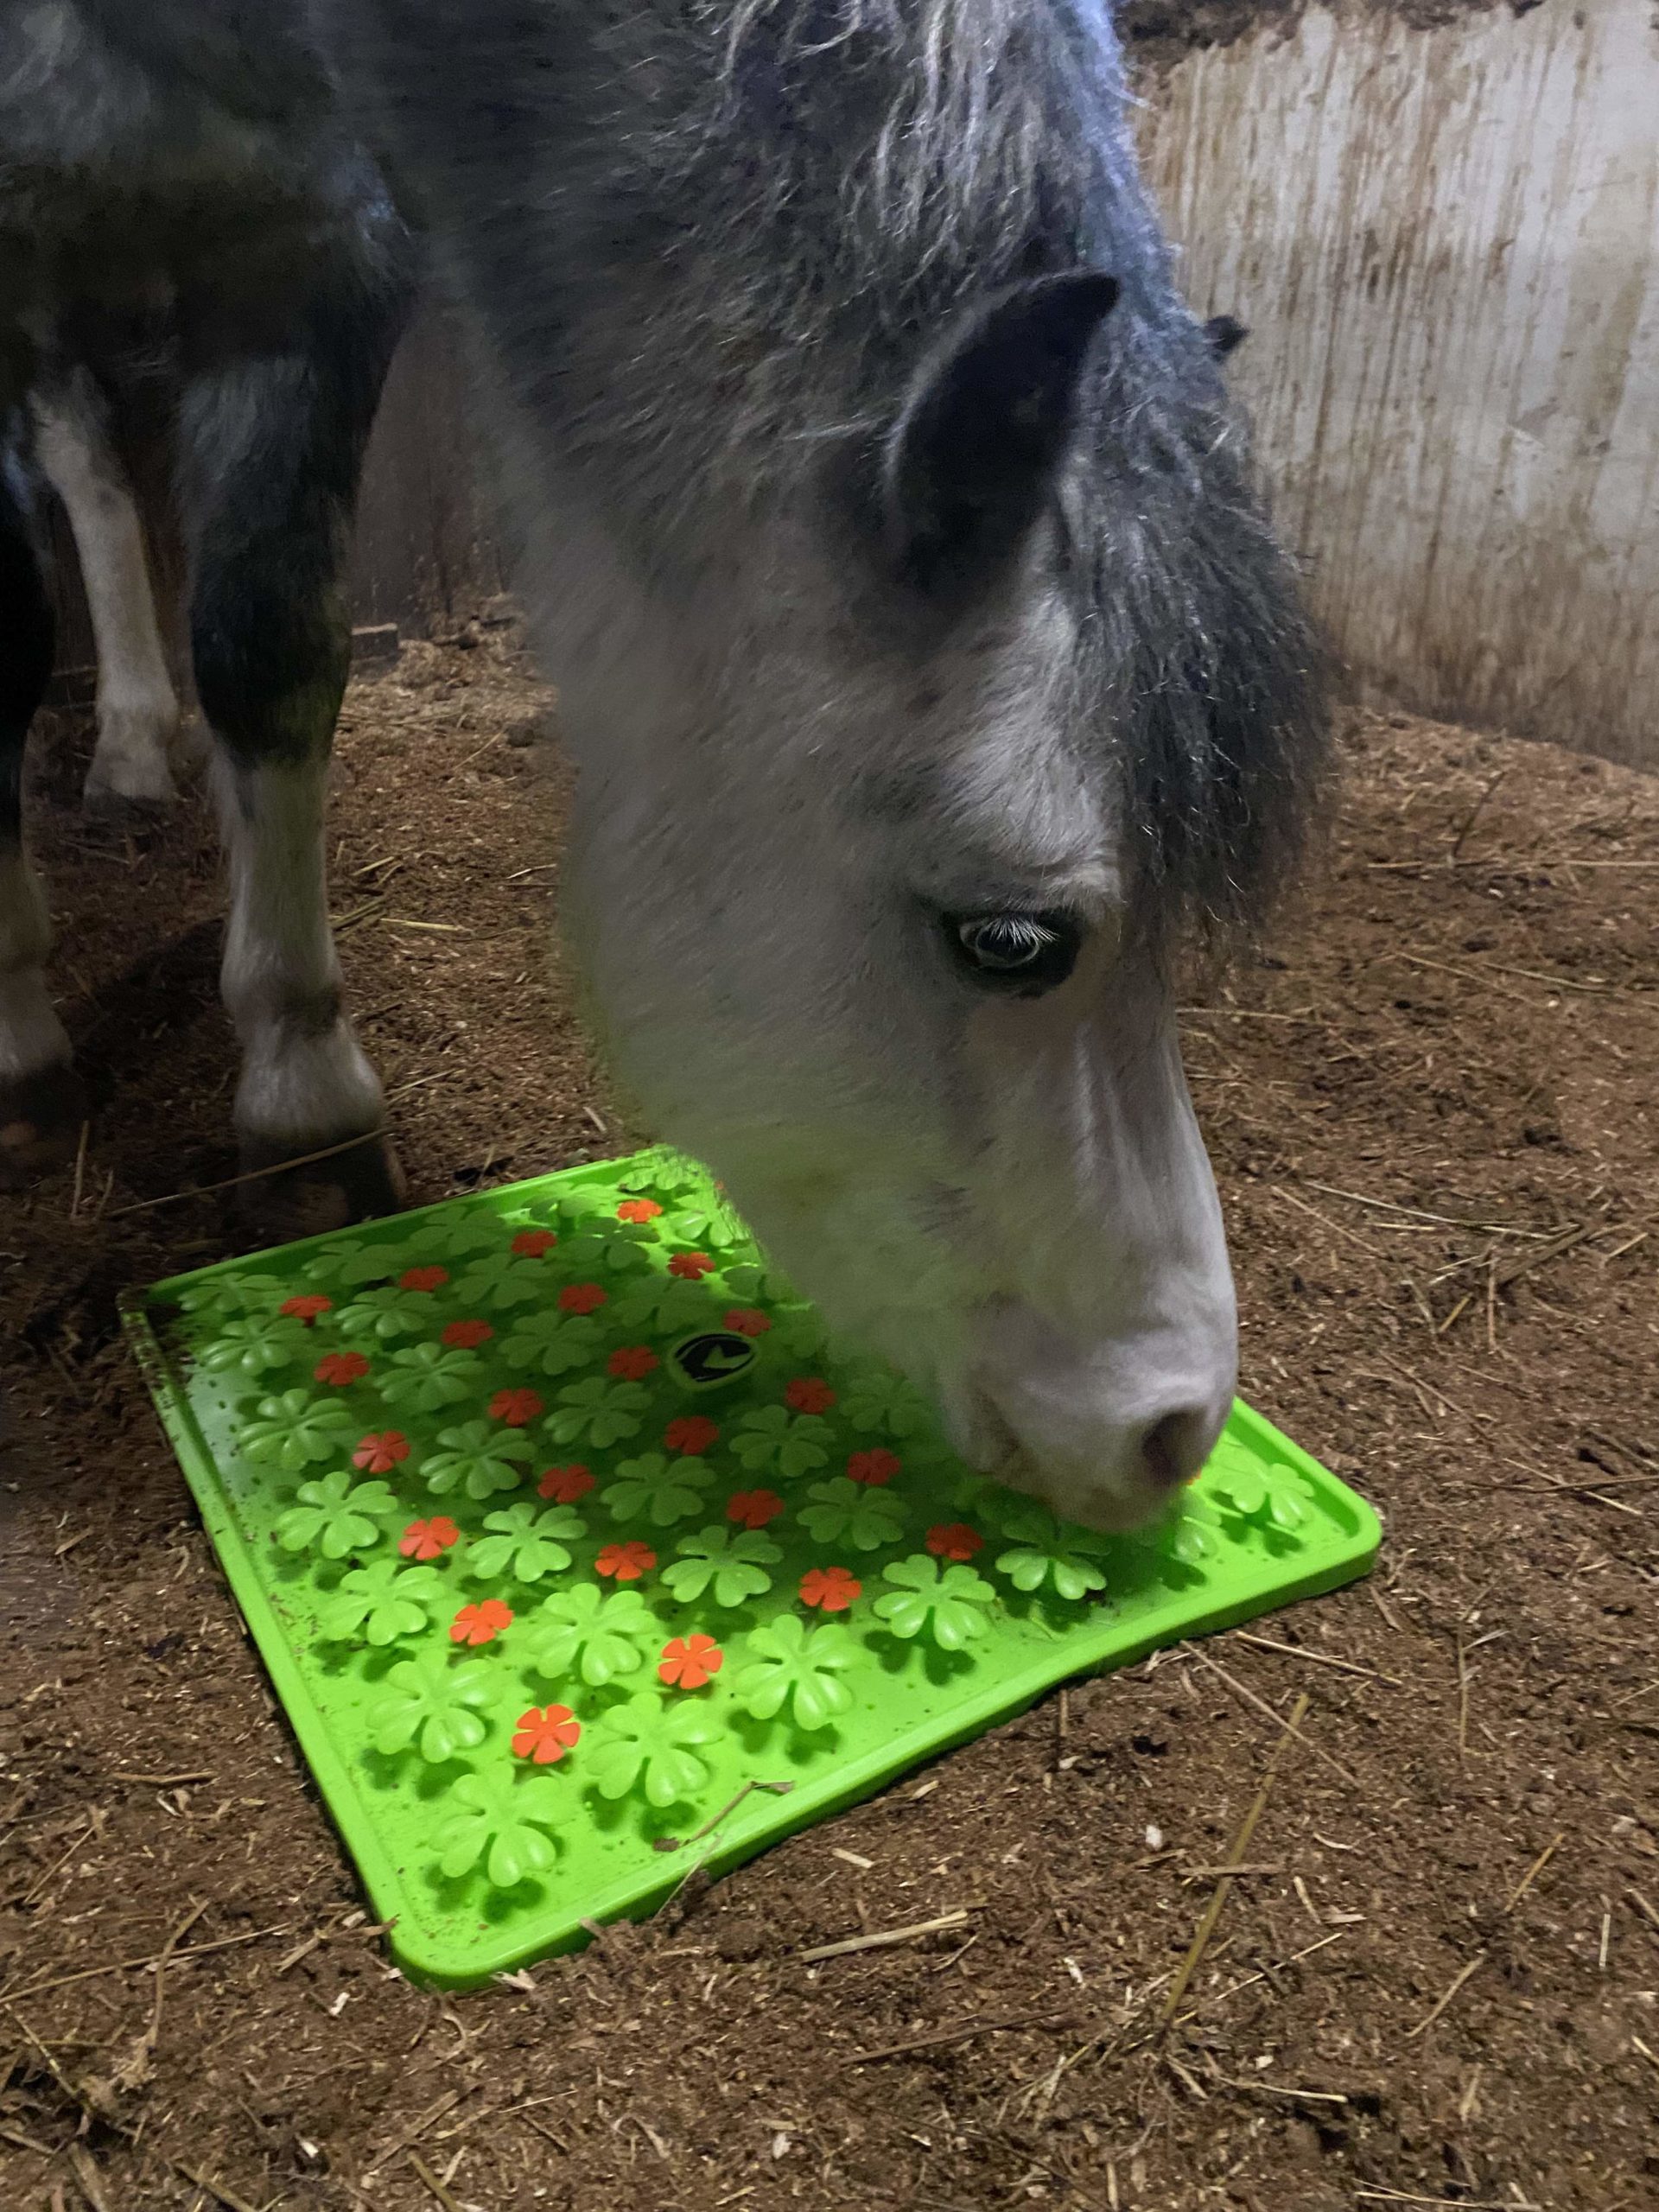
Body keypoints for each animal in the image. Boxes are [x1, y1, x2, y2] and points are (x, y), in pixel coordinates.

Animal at [2, 2, 1325, 1530]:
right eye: (1010, 941)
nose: (1177, 1428)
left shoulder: (312, 257)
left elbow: (270, 646)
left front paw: (298, 1097)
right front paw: (27, 1048)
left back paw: (135, 745)